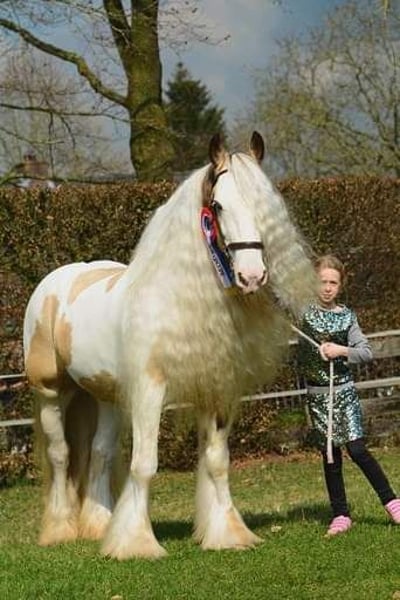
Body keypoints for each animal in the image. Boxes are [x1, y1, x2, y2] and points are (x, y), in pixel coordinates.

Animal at [23, 132, 316, 560]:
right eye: (219, 205)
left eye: (267, 203)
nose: (252, 276)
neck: (175, 300)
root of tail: (55, 282)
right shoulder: (150, 388)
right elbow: (145, 463)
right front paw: (136, 544)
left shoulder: (216, 390)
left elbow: (217, 460)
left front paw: (227, 533)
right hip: (50, 391)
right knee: (60, 454)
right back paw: (60, 530)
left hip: (106, 396)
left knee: (98, 453)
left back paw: (98, 525)